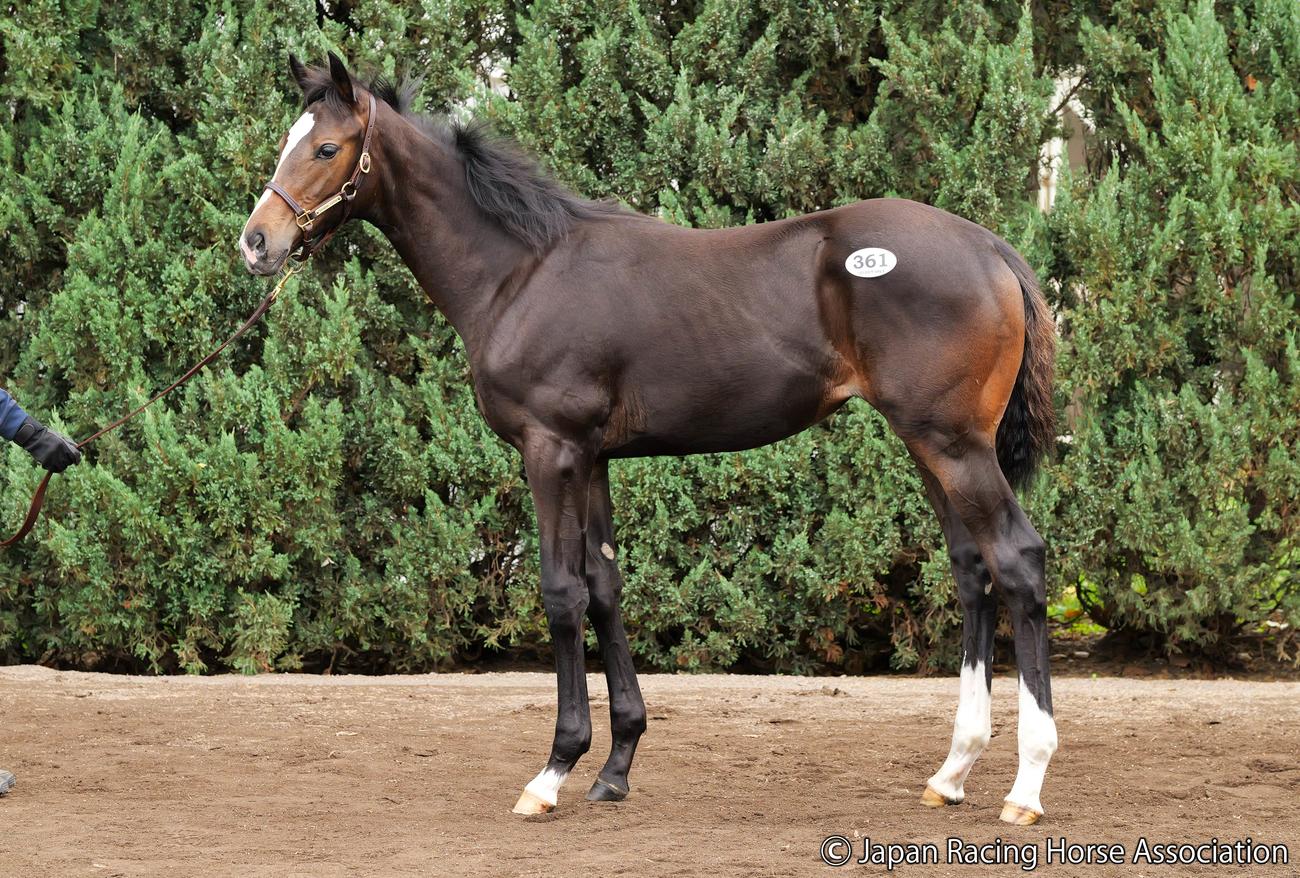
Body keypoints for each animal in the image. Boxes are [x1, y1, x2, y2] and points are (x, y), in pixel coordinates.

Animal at [240, 52, 1059, 826]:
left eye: (327, 148)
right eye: (288, 140)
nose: (256, 243)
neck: (521, 270)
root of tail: (988, 247)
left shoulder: (551, 452)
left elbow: (562, 593)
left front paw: (553, 771)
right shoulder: (594, 459)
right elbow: (606, 590)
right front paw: (615, 766)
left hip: (953, 444)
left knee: (1017, 561)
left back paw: (1026, 786)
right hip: (932, 447)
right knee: (972, 571)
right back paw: (952, 772)